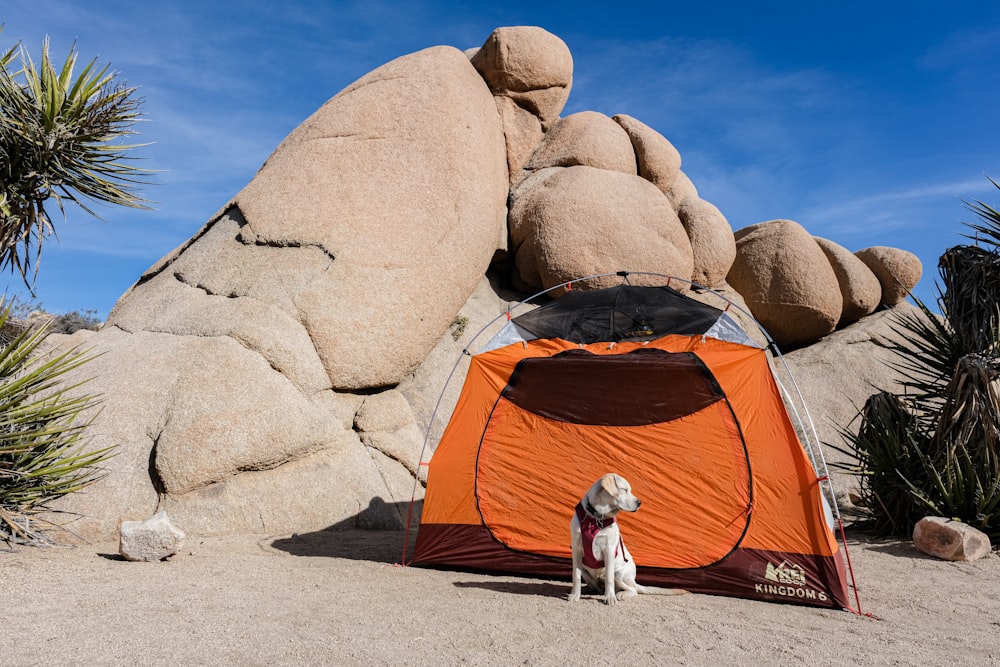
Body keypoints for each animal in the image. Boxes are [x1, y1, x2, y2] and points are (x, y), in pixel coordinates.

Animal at [572, 472, 688, 608]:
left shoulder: (609, 550)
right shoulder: (576, 550)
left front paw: (610, 598)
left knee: (632, 590)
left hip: (619, 574)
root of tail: (634, 581)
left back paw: (620, 594)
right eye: (624, 490)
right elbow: (576, 575)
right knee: (596, 586)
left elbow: (609, 579)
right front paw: (575, 595)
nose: (639, 503)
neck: (595, 518)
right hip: (585, 569)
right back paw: (589, 589)